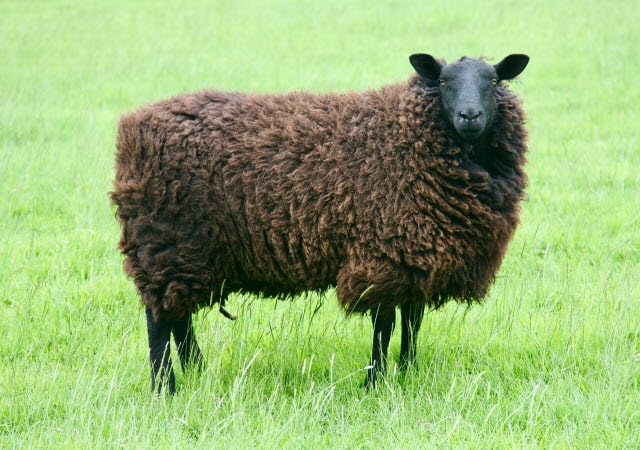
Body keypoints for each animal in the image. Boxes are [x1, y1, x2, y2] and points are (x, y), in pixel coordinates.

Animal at [110, 52, 528, 392]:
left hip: (190, 251)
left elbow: (413, 323)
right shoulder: (382, 256)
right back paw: (165, 387)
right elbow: (385, 326)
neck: (407, 139)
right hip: (166, 240)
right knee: (158, 319)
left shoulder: (418, 256)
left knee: (178, 314)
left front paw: (407, 373)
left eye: (494, 80)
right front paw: (374, 383)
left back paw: (197, 371)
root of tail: (133, 127)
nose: (469, 116)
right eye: (442, 82)